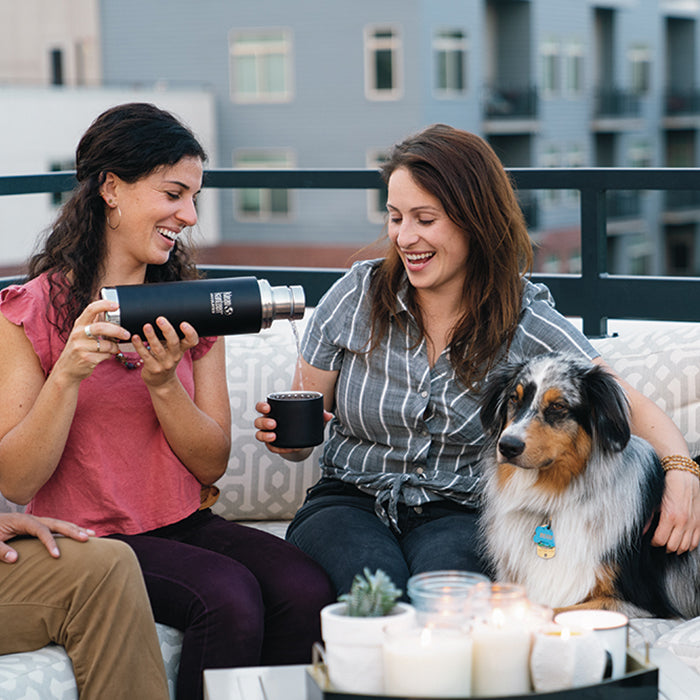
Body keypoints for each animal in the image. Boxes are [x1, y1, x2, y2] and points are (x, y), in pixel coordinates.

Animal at [478, 356, 700, 616]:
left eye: (558, 406)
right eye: (514, 398)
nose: (507, 446)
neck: (554, 497)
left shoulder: (635, 604)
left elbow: (553, 611)